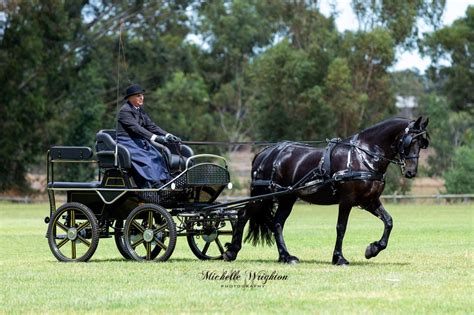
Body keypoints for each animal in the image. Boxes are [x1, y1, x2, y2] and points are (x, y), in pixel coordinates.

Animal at [223, 117, 430, 266]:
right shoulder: (347, 200)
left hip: (287, 198)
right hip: (262, 196)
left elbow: (389, 221)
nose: (411, 172)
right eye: (410, 142)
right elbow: (341, 228)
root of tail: (265, 153)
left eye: (422, 143)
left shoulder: (369, 201)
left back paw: (286, 257)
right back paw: (231, 251)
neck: (363, 157)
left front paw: (373, 249)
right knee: (242, 215)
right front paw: (339, 258)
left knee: (277, 224)